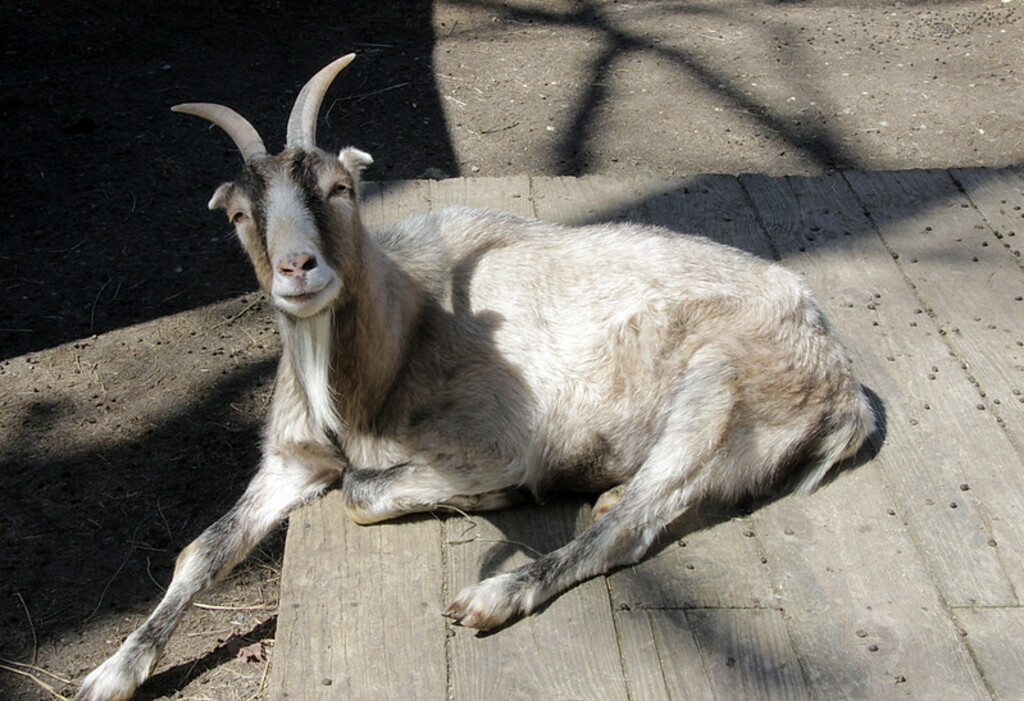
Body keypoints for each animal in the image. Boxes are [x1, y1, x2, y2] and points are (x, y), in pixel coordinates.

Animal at [77, 54, 875, 700]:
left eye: (339, 188)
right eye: (242, 214)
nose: (298, 268)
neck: (387, 356)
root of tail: (843, 383)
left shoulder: (494, 443)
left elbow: (361, 492)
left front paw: (493, 497)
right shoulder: (290, 461)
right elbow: (201, 548)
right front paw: (111, 672)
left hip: (720, 388)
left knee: (627, 531)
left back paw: (496, 593)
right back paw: (609, 490)